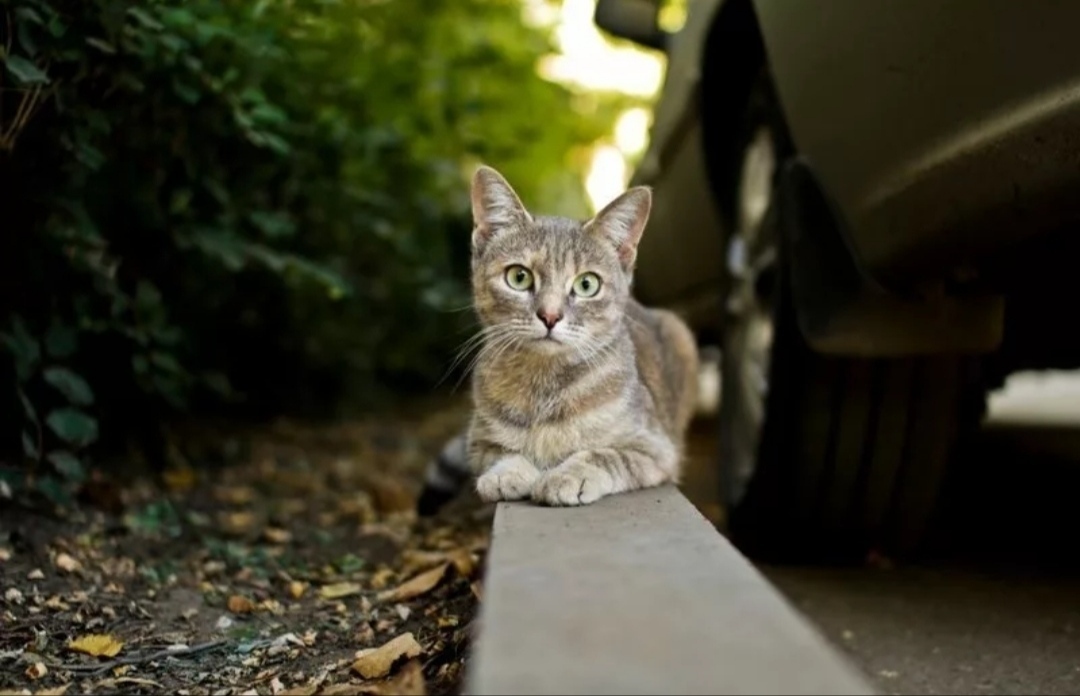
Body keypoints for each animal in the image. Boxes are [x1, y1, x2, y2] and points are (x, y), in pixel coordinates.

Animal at [412, 162, 699, 510]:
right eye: (519, 277)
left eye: (587, 284)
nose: (550, 316)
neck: (544, 387)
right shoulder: (479, 441)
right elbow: (504, 451)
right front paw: (507, 472)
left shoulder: (655, 447)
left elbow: (604, 455)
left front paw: (569, 475)